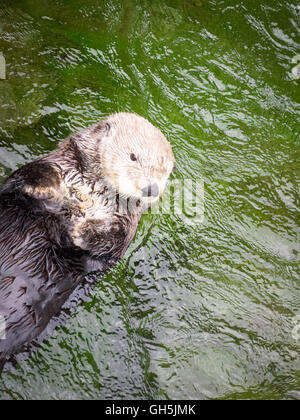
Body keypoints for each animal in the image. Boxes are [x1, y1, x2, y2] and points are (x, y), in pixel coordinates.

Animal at [0, 112, 175, 368]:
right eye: (133, 156)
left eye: (164, 172)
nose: (151, 188)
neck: (94, 192)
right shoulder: (43, 168)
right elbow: (29, 175)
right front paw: (49, 188)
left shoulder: (125, 230)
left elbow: (114, 239)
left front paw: (81, 231)